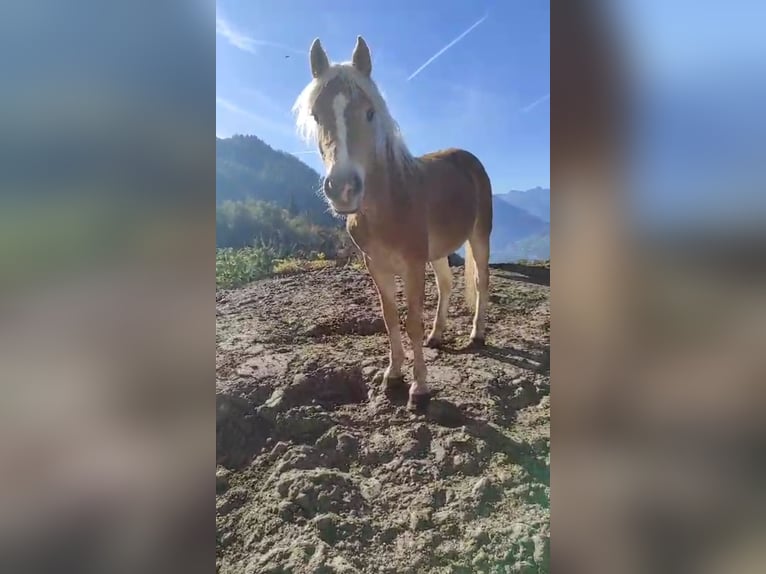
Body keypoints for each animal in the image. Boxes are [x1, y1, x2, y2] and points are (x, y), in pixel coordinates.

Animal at [292, 36, 496, 412]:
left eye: (370, 113)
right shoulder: (376, 265)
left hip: (479, 236)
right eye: (316, 116)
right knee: (446, 284)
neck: (387, 205)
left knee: (481, 280)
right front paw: (393, 375)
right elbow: (389, 319)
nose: (343, 188)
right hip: (438, 250)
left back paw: (477, 334)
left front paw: (420, 389)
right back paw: (437, 335)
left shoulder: (413, 265)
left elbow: (411, 320)